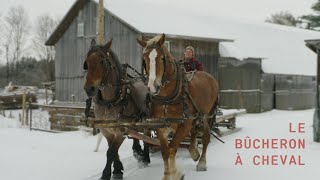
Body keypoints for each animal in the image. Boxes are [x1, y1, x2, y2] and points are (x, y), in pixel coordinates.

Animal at [84, 39, 151, 180]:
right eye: (86, 63)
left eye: (102, 61)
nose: (89, 89)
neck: (110, 101)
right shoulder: (106, 130)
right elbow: (113, 150)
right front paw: (117, 169)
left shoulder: (120, 130)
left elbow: (111, 152)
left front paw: (106, 174)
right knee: (137, 136)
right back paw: (137, 151)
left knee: (147, 136)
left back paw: (145, 158)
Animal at [138, 34, 220, 180]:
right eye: (145, 58)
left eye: (162, 58)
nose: (153, 87)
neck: (167, 98)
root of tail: (210, 77)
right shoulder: (161, 127)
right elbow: (165, 151)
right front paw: (167, 175)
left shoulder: (184, 124)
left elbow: (172, 148)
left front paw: (176, 173)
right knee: (194, 132)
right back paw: (194, 151)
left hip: (207, 116)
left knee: (205, 137)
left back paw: (202, 162)